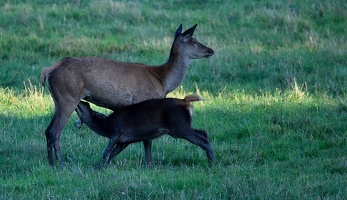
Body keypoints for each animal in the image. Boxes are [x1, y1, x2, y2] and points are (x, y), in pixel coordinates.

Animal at [76, 94, 216, 166]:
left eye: (86, 105)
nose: (81, 100)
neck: (105, 126)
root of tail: (186, 102)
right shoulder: (124, 141)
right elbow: (113, 153)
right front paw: (106, 166)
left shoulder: (117, 131)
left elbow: (106, 151)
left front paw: (98, 166)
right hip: (182, 126)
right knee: (204, 133)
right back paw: (211, 159)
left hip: (179, 126)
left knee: (202, 138)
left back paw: (212, 162)